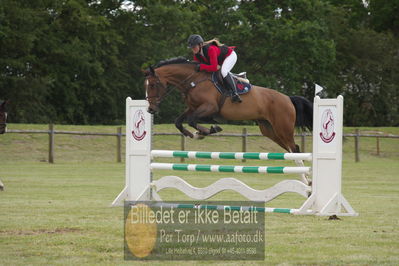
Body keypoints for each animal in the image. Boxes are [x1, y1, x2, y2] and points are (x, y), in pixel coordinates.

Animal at [145, 57, 316, 183]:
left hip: (283, 128)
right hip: (270, 131)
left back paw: (306, 180)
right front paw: (194, 134)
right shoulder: (192, 108)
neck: (193, 80)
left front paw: (208, 130)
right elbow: (179, 122)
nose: (150, 109)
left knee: (295, 149)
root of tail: (288, 98)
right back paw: (305, 179)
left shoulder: (209, 107)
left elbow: (192, 121)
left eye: (152, 84)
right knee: (290, 150)